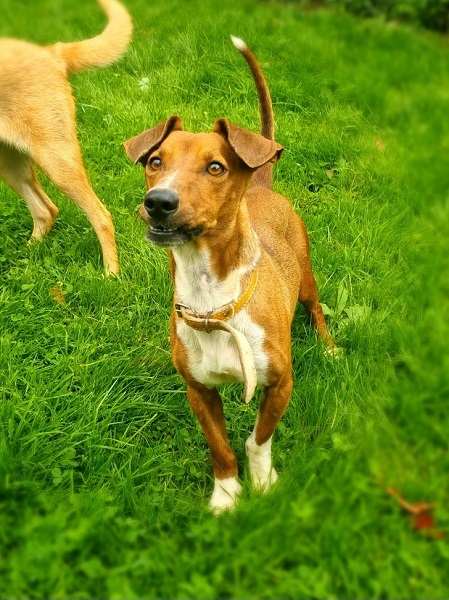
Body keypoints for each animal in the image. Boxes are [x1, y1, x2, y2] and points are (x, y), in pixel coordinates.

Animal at [0, 0, 133, 276]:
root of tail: (51, 53)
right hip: (10, 163)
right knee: (45, 210)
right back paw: (24, 258)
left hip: (57, 162)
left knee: (101, 216)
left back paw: (111, 274)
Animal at [122, 37, 332, 512]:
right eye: (155, 162)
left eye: (215, 167)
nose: (158, 202)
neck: (212, 304)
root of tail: (262, 187)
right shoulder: (199, 391)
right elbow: (220, 447)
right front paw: (226, 494)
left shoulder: (280, 384)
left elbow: (257, 440)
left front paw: (264, 481)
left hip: (307, 278)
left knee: (317, 308)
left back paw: (330, 348)